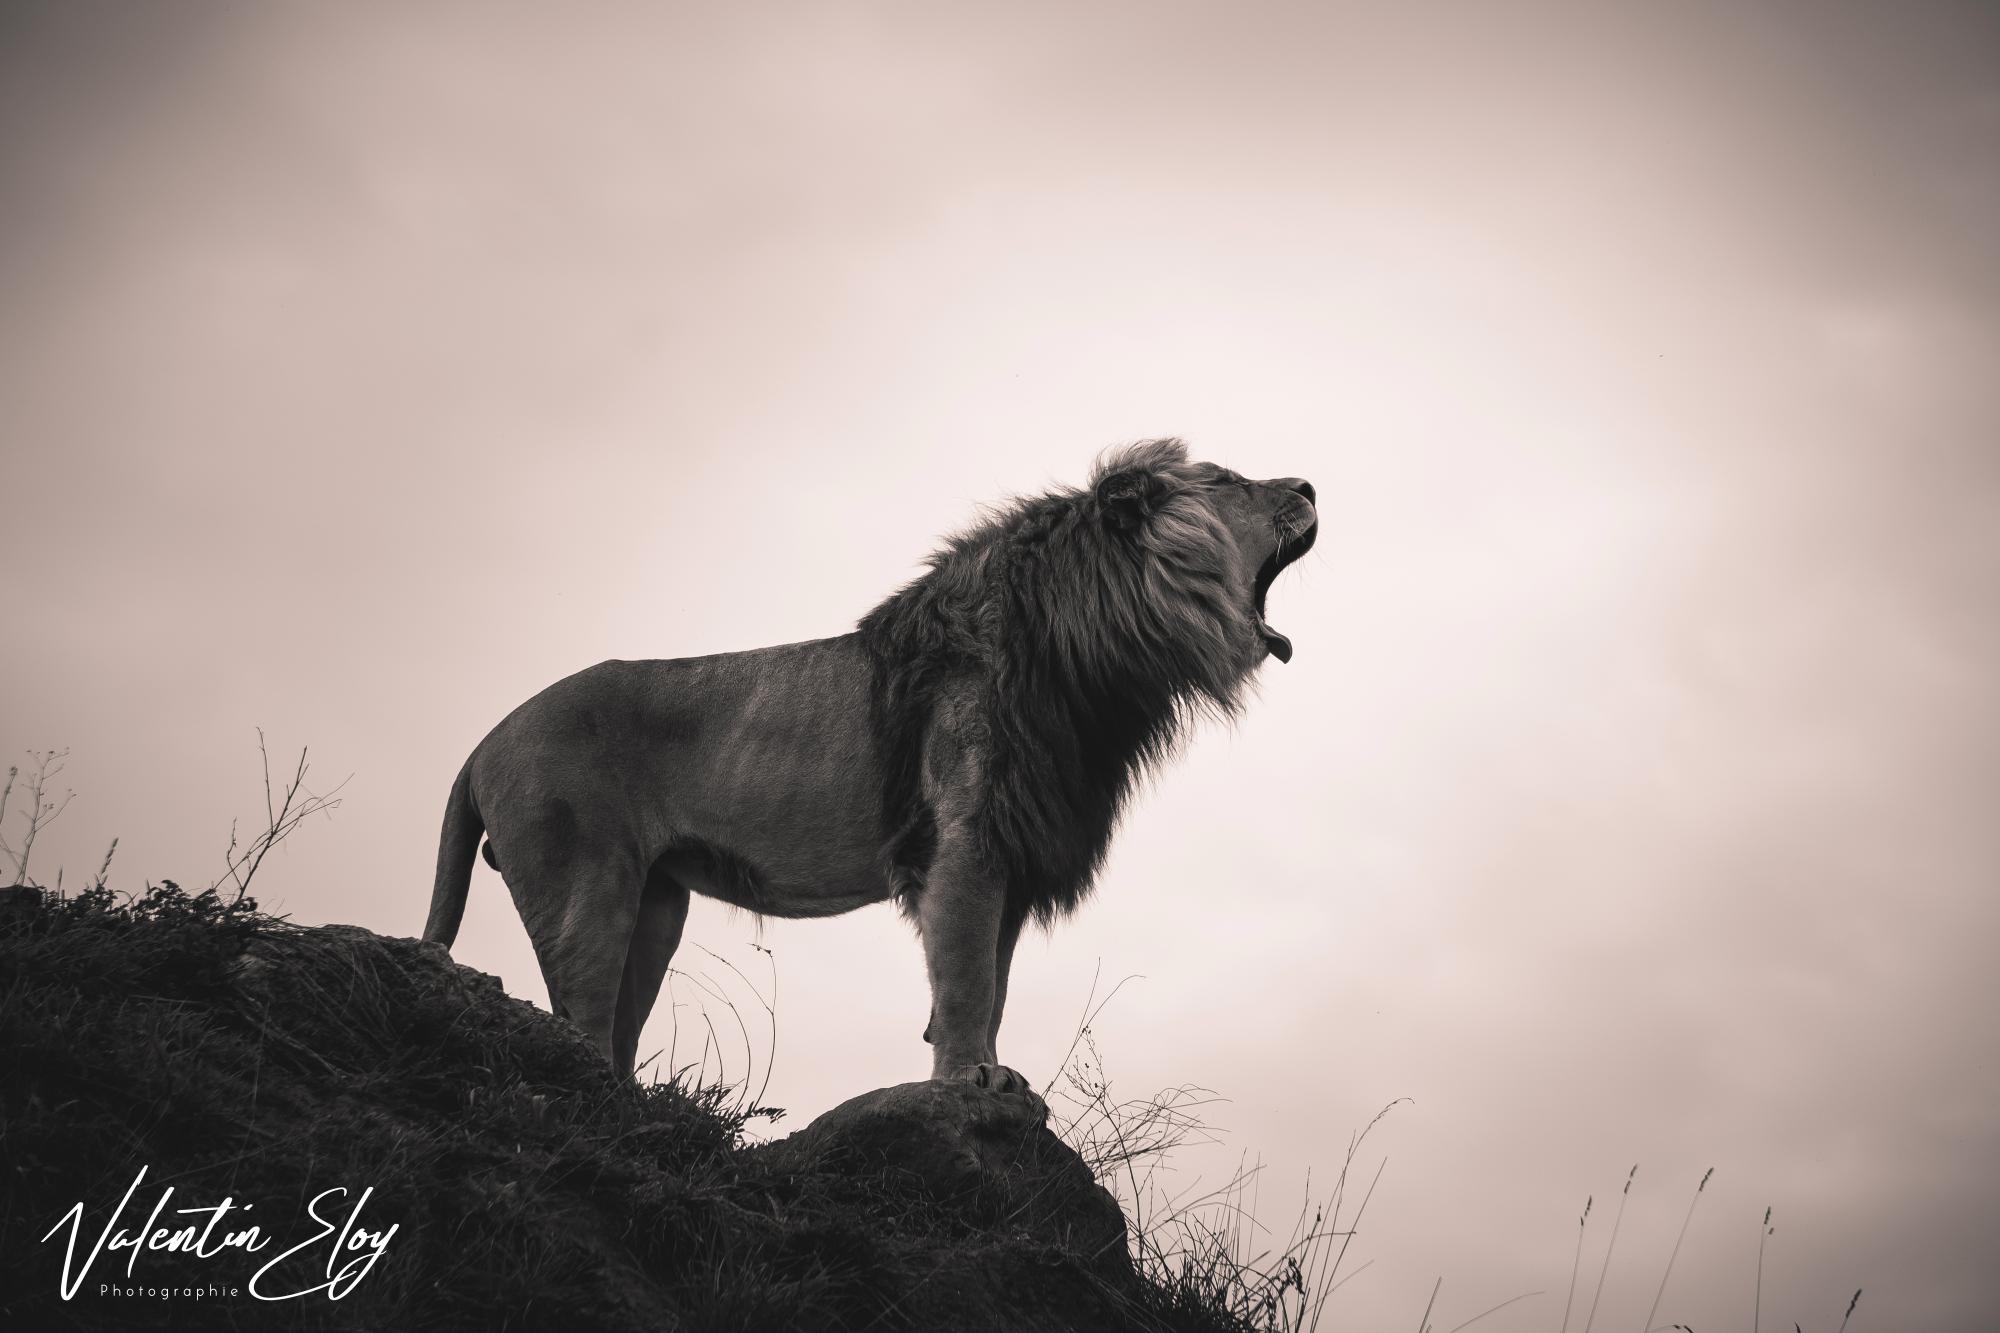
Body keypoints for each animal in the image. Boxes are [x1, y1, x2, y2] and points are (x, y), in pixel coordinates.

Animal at [423, 439, 1317, 1093]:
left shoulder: (1014, 854)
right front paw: (971, 1078)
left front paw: (993, 1072)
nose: (1312, 484)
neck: (1089, 662)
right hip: (587, 889)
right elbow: (966, 979)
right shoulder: (963, 845)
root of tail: (480, 743)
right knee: (576, 1015)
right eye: (1230, 480)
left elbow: (995, 984)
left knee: (613, 1026)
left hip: (657, 904)